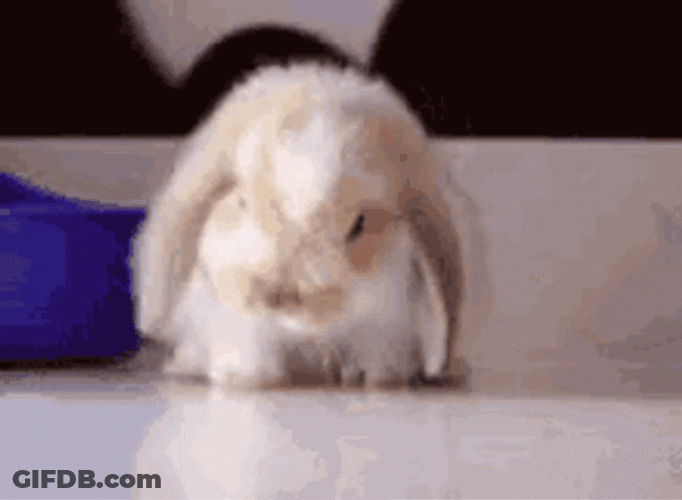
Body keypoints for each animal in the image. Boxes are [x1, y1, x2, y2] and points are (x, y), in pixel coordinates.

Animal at [131, 62, 464, 388]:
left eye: (358, 225)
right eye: (243, 202)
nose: (283, 297)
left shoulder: (383, 325)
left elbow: (371, 351)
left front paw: (369, 378)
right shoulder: (239, 321)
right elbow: (253, 349)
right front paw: (247, 380)